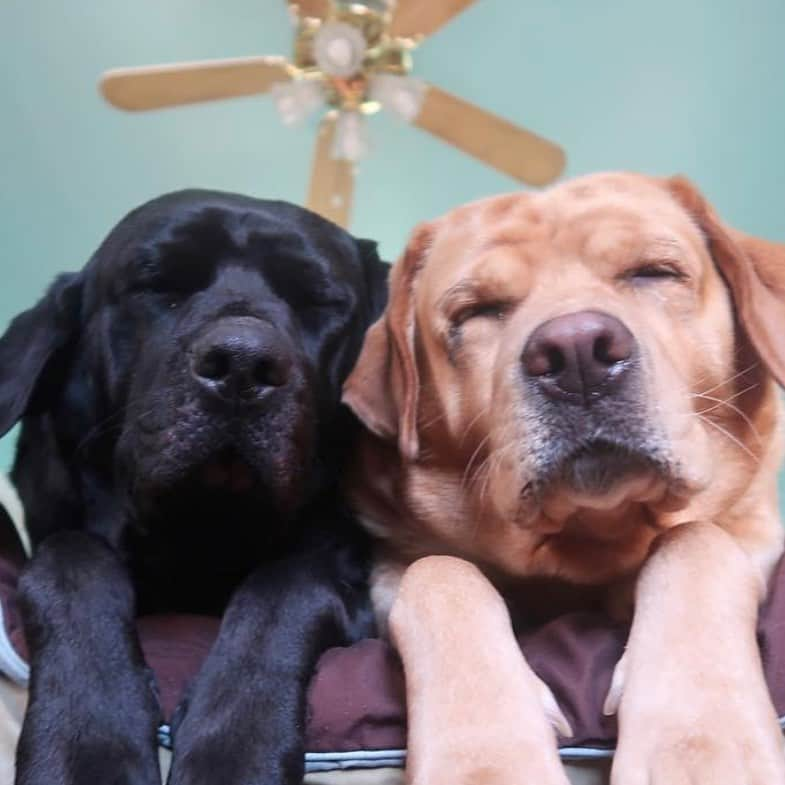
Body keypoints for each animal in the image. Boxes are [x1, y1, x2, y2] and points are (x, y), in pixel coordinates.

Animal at [0, 191, 388, 784]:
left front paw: (238, 751)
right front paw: (87, 744)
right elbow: (70, 564)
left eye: (318, 302)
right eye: (160, 286)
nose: (243, 364)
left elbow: (285, 589)